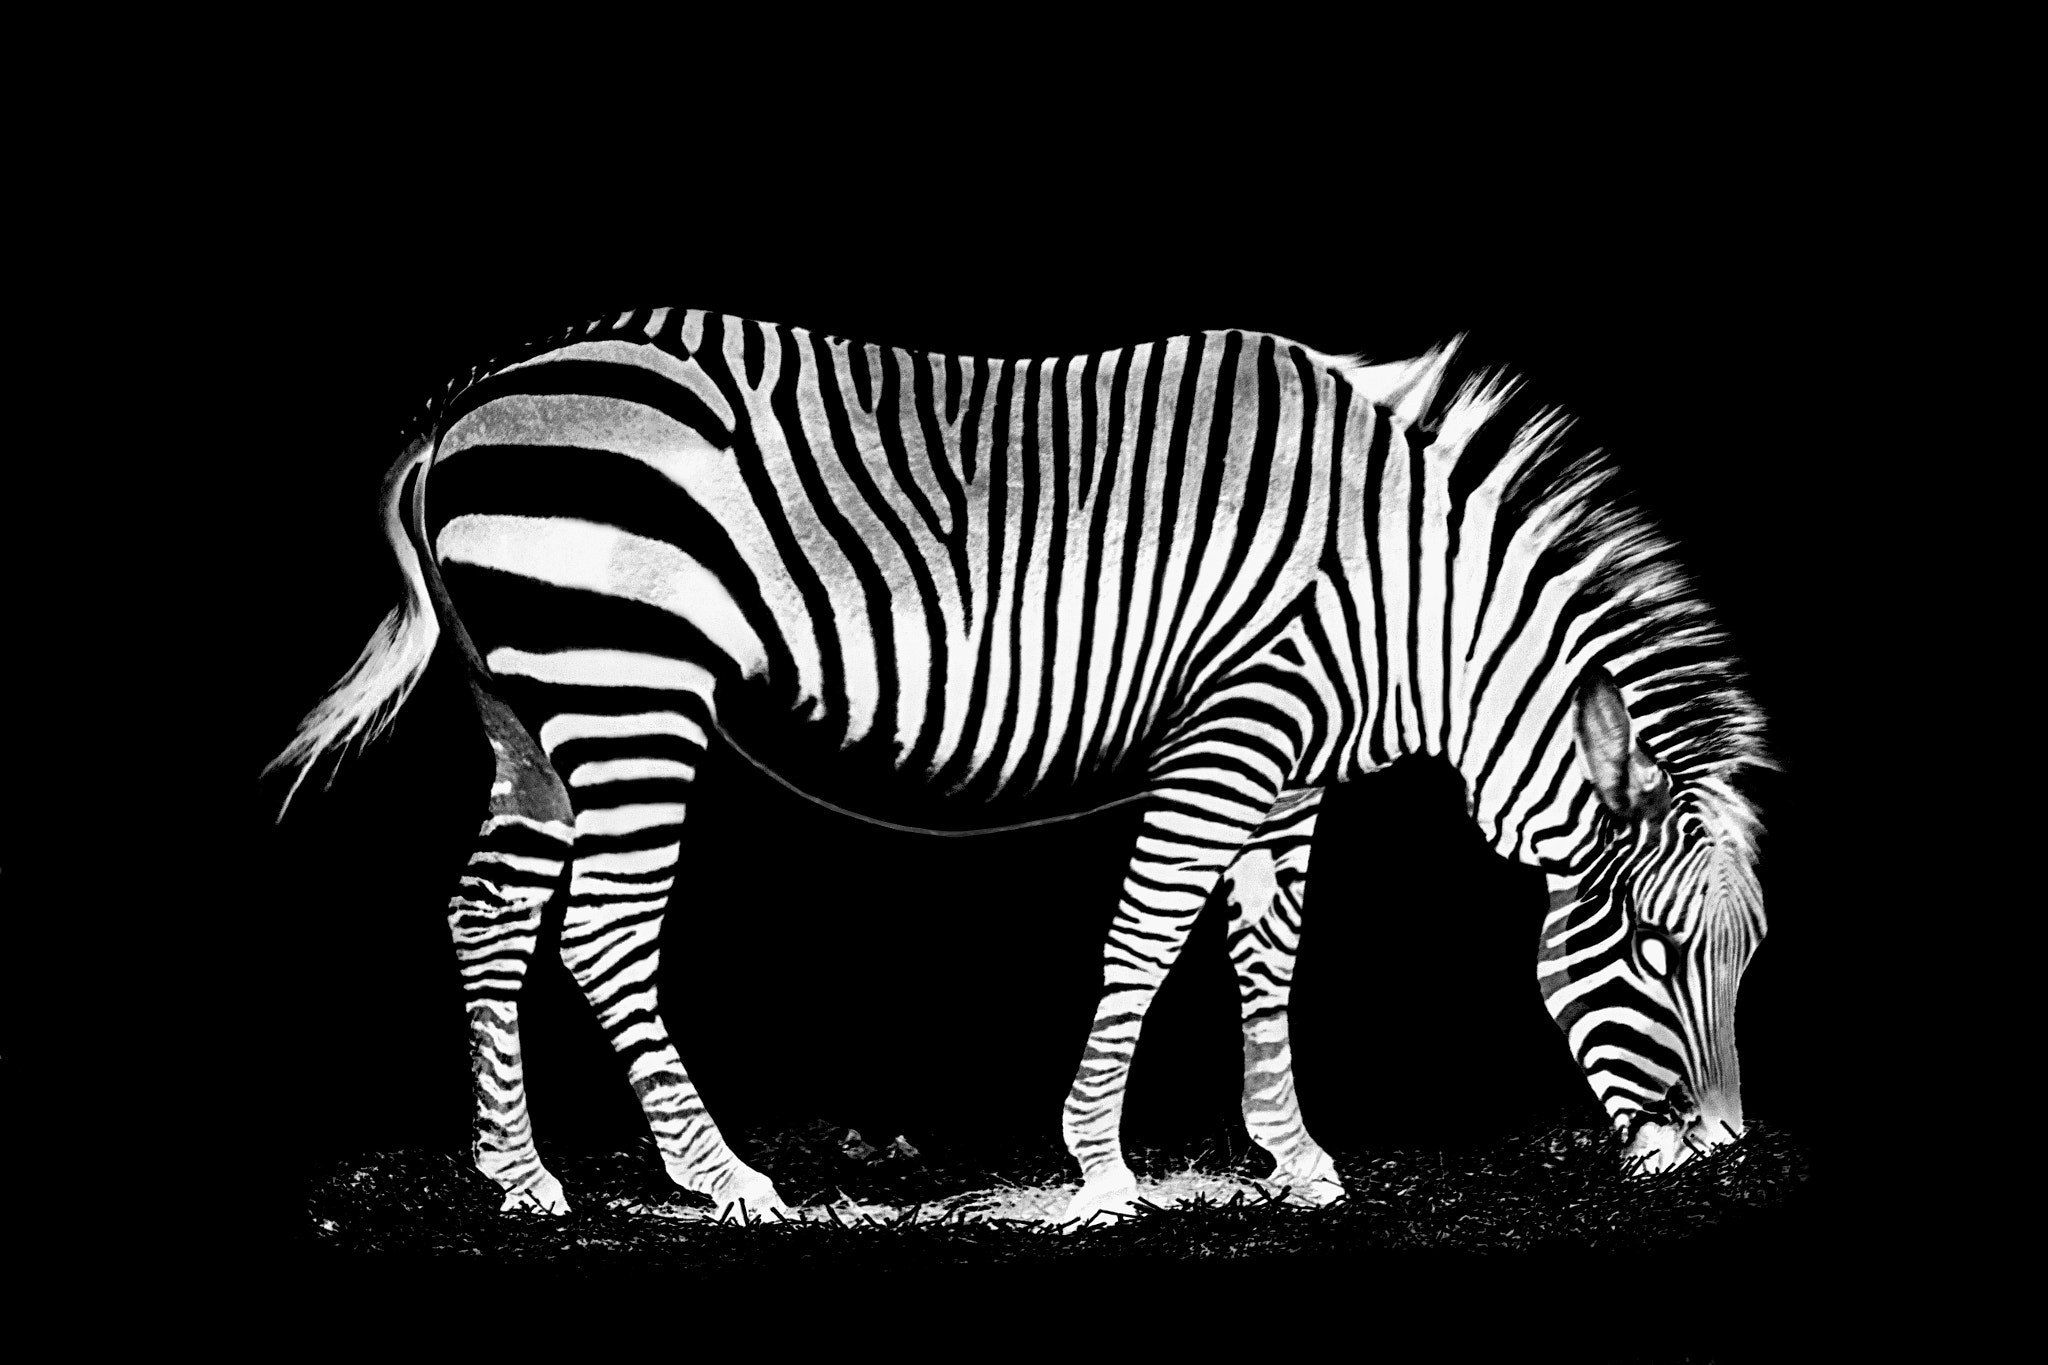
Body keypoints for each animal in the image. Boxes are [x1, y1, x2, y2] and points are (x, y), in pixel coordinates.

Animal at [269, 306, 1770, 1226]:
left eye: (1743, 961)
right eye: (1647, 949)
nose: (1726, 1160)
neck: (1411, 602)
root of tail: (467, 404)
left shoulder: (1293, 777)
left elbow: (1267, 962)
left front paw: (1295, 1158)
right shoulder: (1232, 732)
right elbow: (1146, 940)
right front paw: (1101, 1164)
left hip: (528, 711)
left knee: (486, 910)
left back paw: (518, 1175)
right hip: (627, 684)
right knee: (605, 929)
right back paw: (724, 1178)